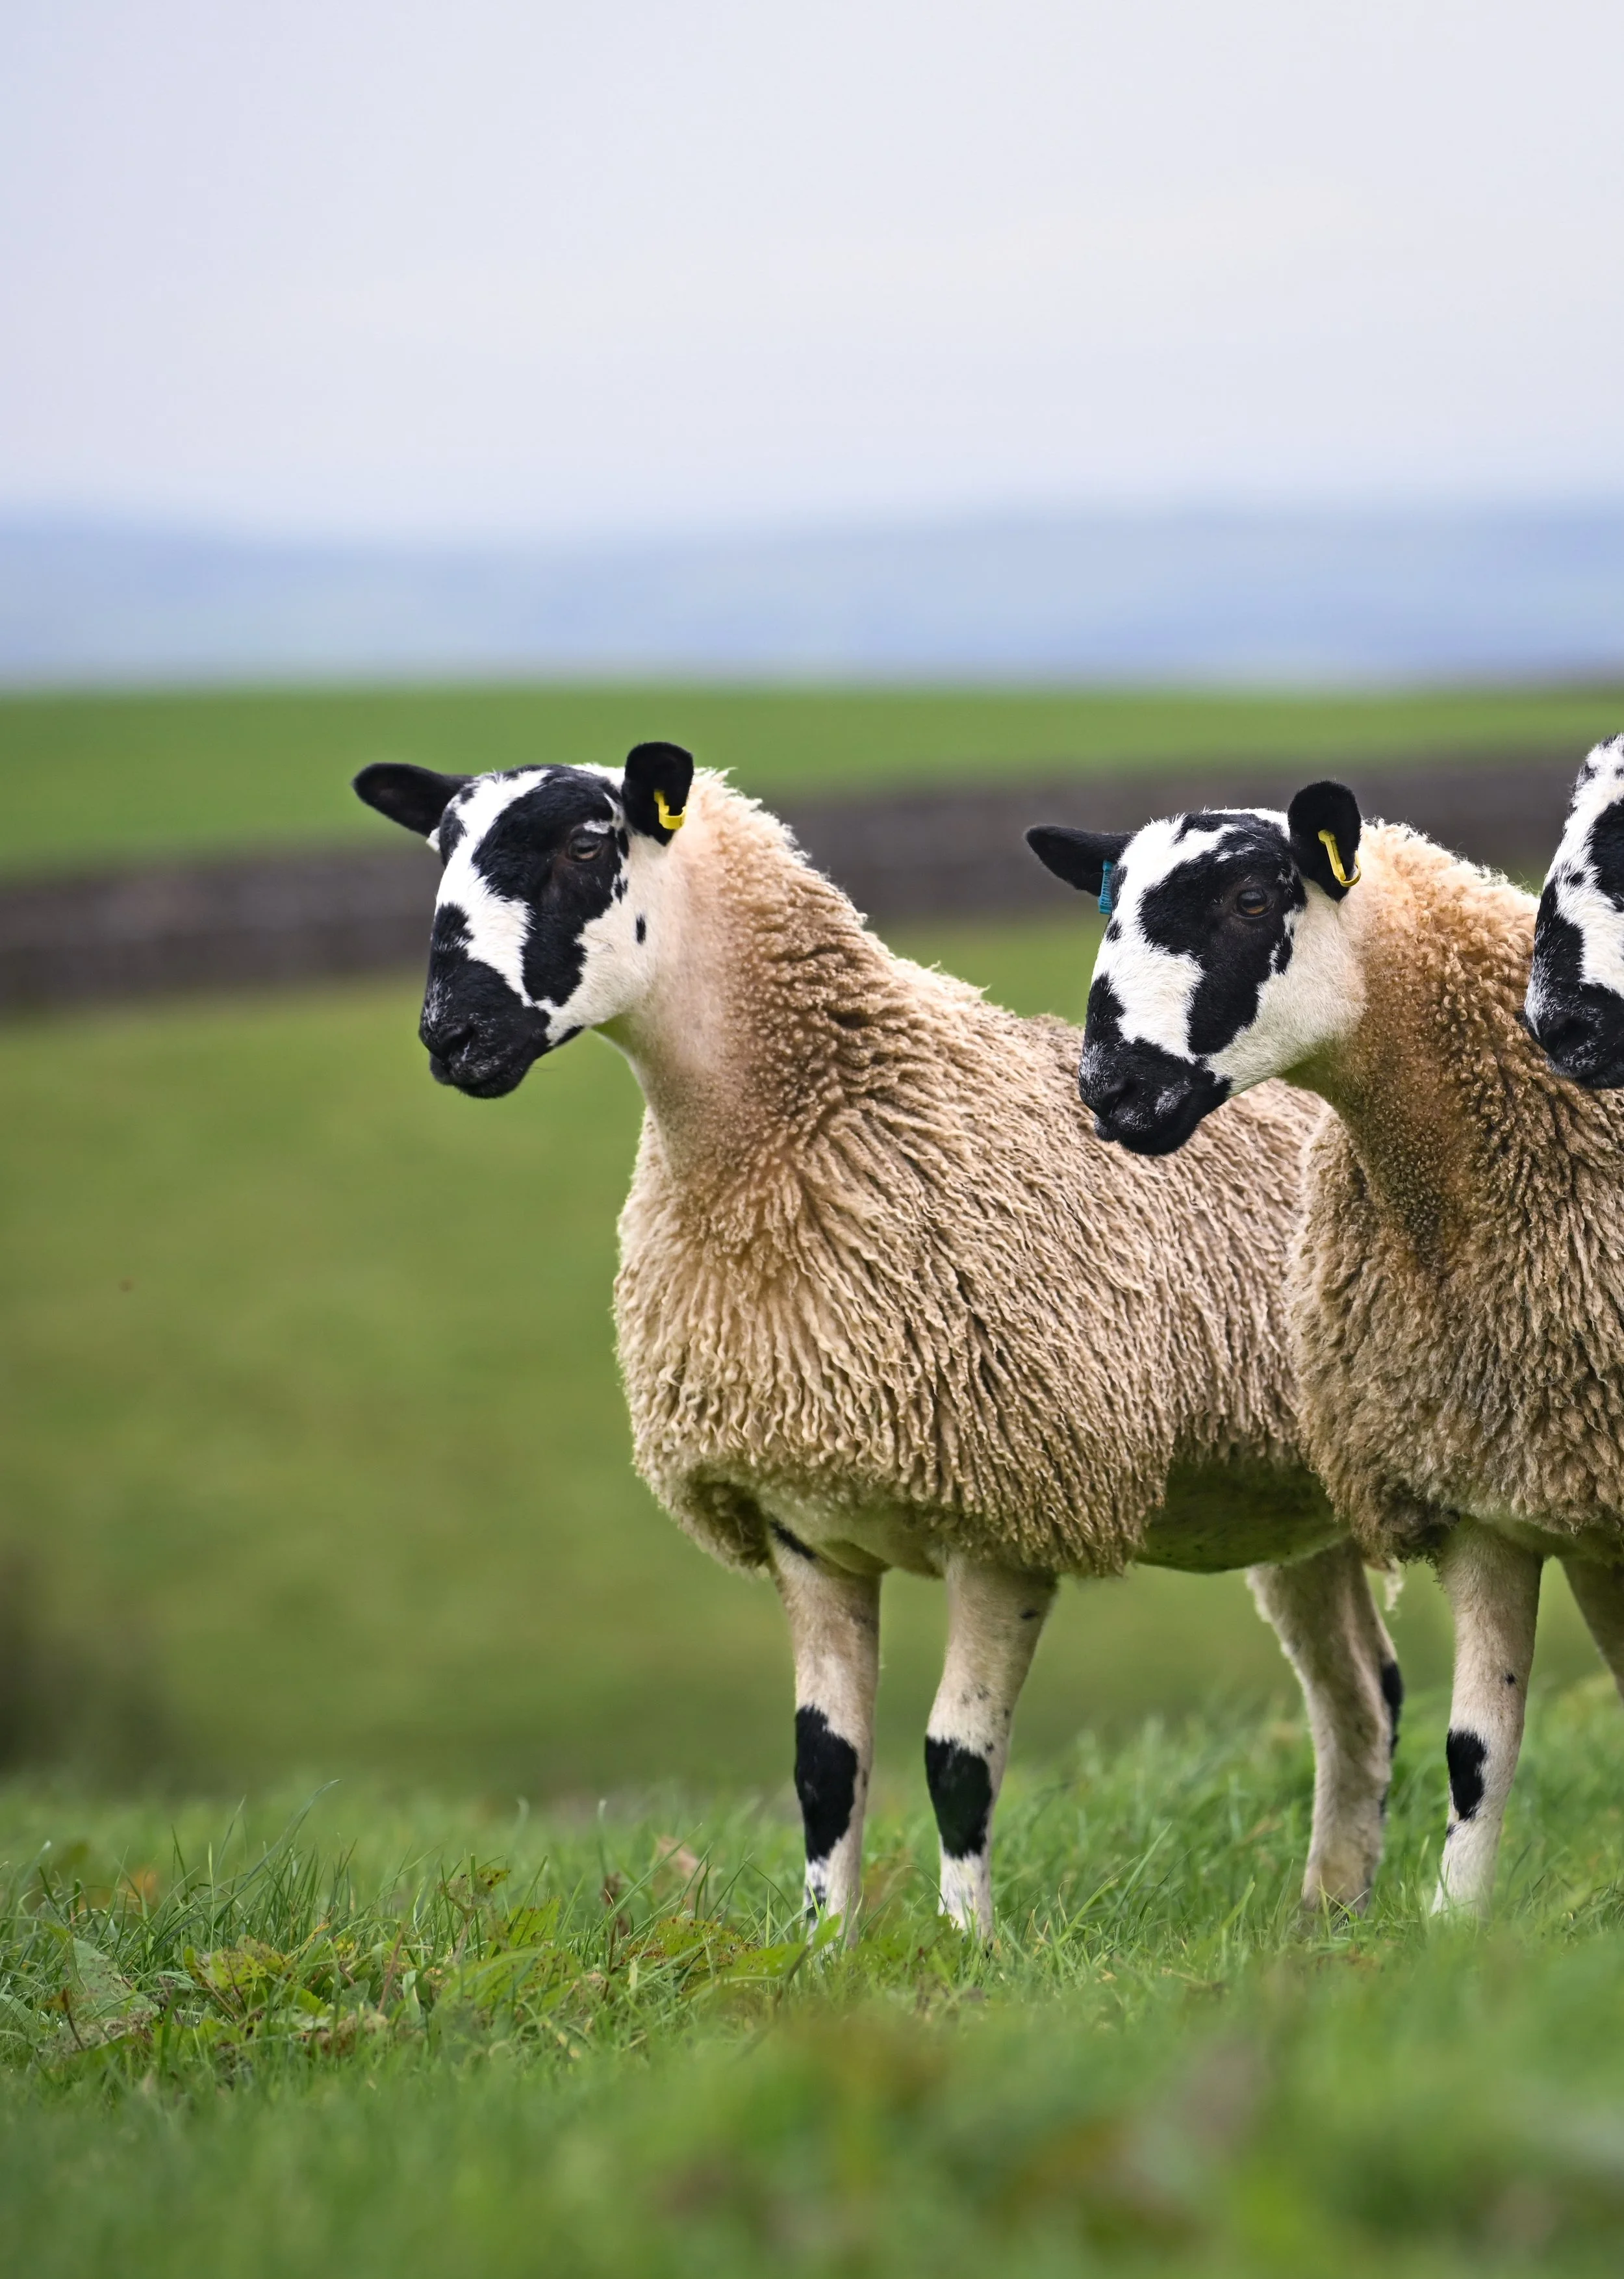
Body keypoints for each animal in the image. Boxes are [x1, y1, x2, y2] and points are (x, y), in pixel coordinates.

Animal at [353, 742, 1405, 1937]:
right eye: (440, 845)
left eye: (584, 844)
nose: (451, 1037)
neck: (805, 1138)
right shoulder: (804, 1519)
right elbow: (824, 1767)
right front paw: (824, 1946)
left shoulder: (1010, 1511)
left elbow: (956, 1759)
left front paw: (969, 1948)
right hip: (1303, 1507)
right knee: (1362, 1697)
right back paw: (1330, 1918)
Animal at [1043, 782, 1624, 1914]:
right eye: (1108, 906)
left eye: (1253, 897)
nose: (1108, 1089)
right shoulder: (1483, 1488)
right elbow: (1477, 1750)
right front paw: (1455, 1922)